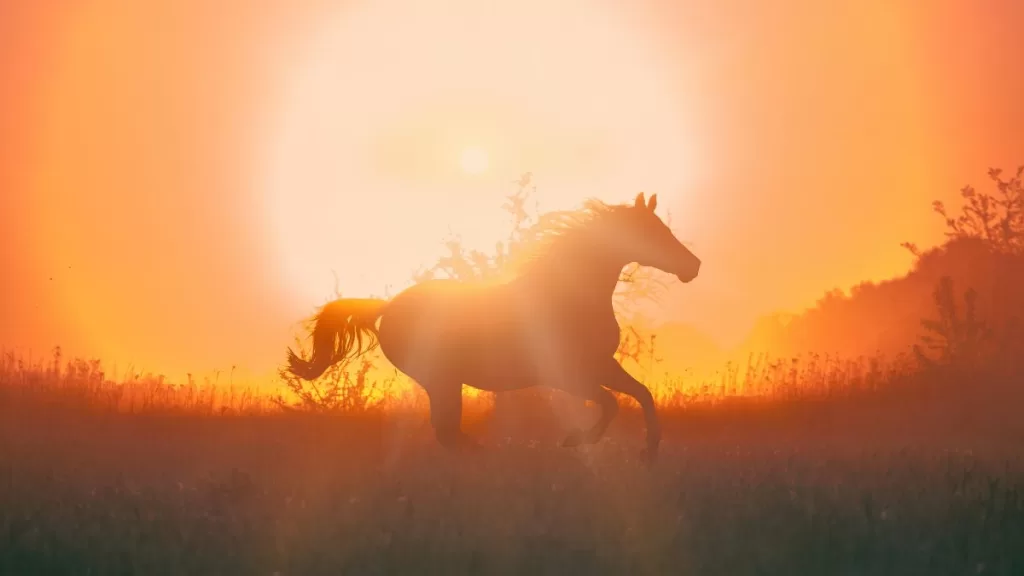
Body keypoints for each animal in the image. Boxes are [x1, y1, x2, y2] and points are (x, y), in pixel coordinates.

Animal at [285, 192, 701, 463]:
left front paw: (649, 450)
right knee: (446, 431)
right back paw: (483, 459)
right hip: (441, 379)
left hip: (445, 382)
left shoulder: (600, 366)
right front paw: (574, 440)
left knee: (447, 431)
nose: (693, 266)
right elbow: (611, 403)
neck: (568, 296)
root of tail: (390, 307)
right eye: (652, 232)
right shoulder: (564, 375)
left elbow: (641, 394)